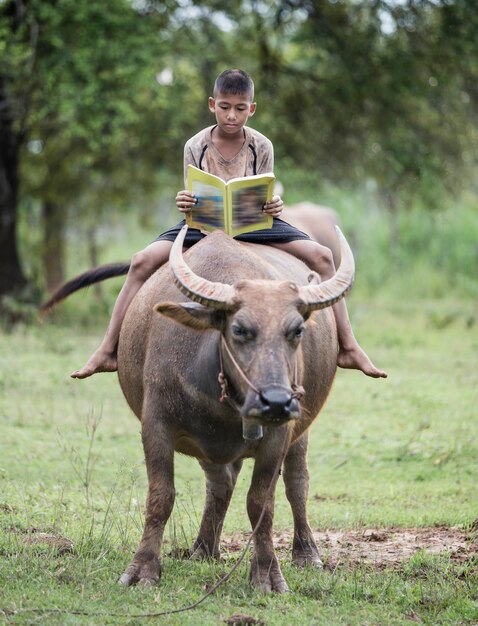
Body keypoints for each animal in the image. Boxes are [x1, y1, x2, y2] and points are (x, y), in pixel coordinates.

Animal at [115, 224, 354, 588]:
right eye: (240, 329)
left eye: (297, 330)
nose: (276, 402)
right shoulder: (155, 423)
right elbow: (161, 496)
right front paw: (142, 570)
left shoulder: (277, 437)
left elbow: (261, 504)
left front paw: (267, 575)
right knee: (220, 484)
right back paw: (203, 549)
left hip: (299, 431)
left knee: (296, 482)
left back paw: (306, 553)